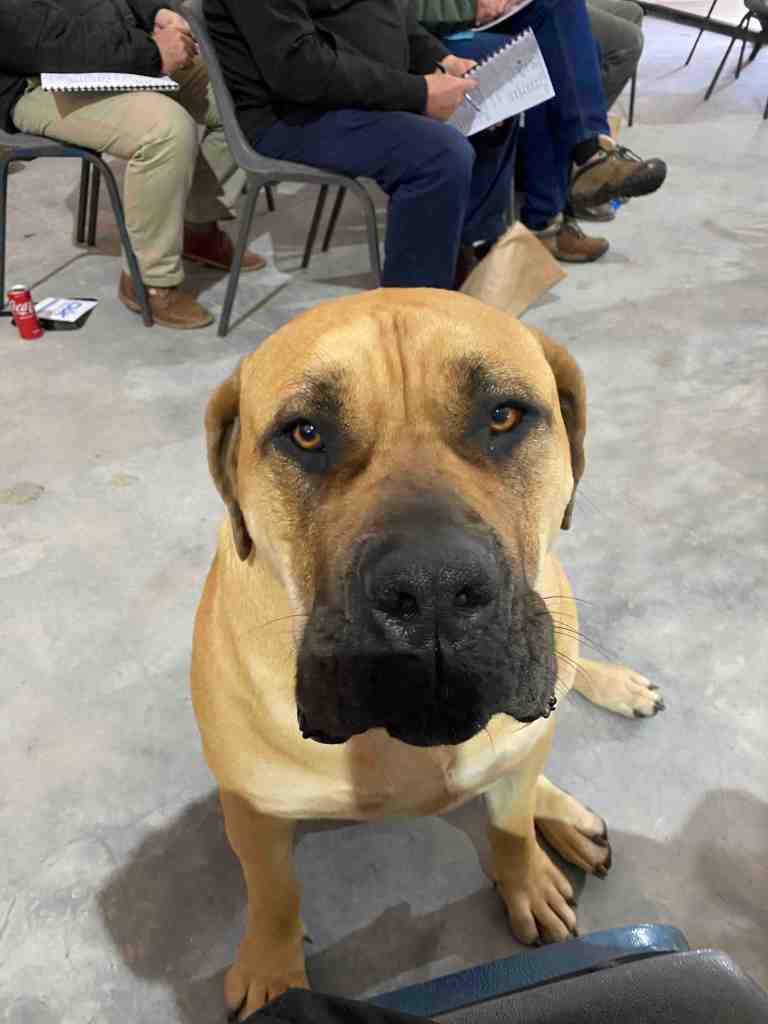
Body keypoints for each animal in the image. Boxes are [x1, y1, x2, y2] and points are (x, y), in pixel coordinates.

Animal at [191, 289, 663, 1020]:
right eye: (305, 433)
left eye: (503, 415)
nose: (434, 586)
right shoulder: (252, 808)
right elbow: (273, 893)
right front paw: (273, 971)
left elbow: (510, 826)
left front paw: (526, 877)